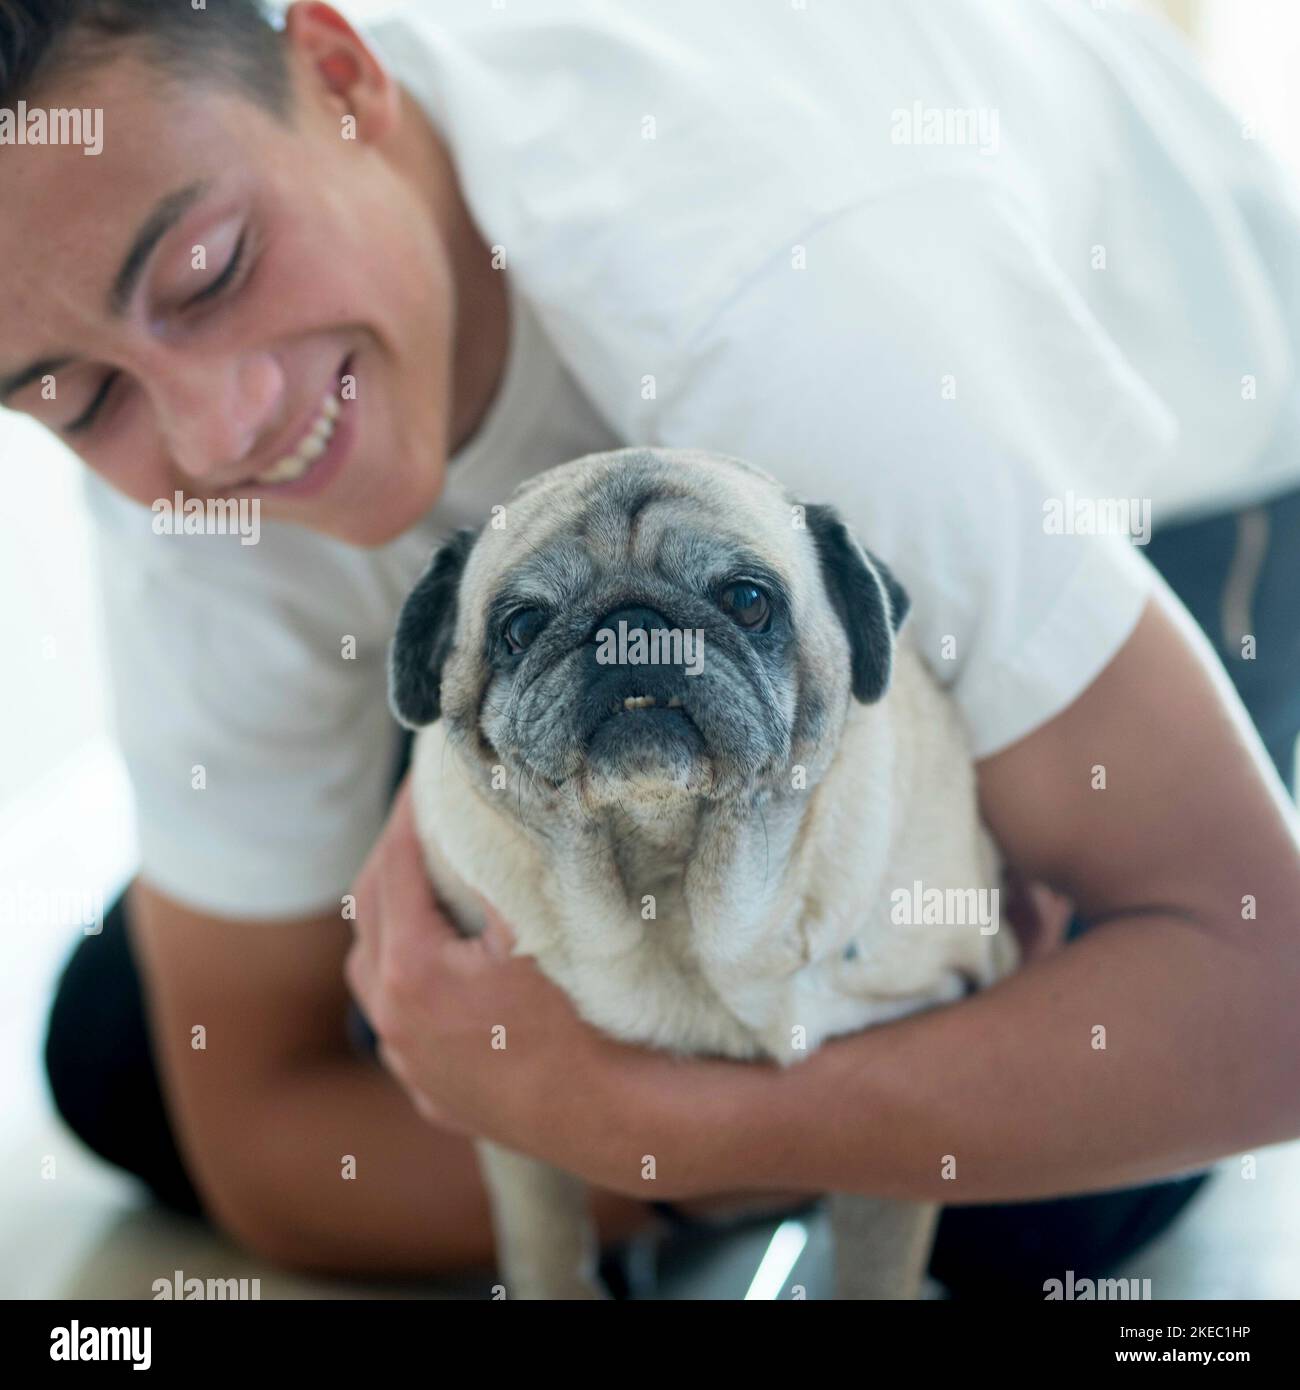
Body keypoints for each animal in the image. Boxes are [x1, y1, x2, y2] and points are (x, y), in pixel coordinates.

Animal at [386, 447, 1017, 1301]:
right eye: (519, 628)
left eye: (747, 601)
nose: (631, 627)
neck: (671, 890)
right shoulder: (511, 1140)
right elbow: (547, 1248)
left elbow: (878, 1271)